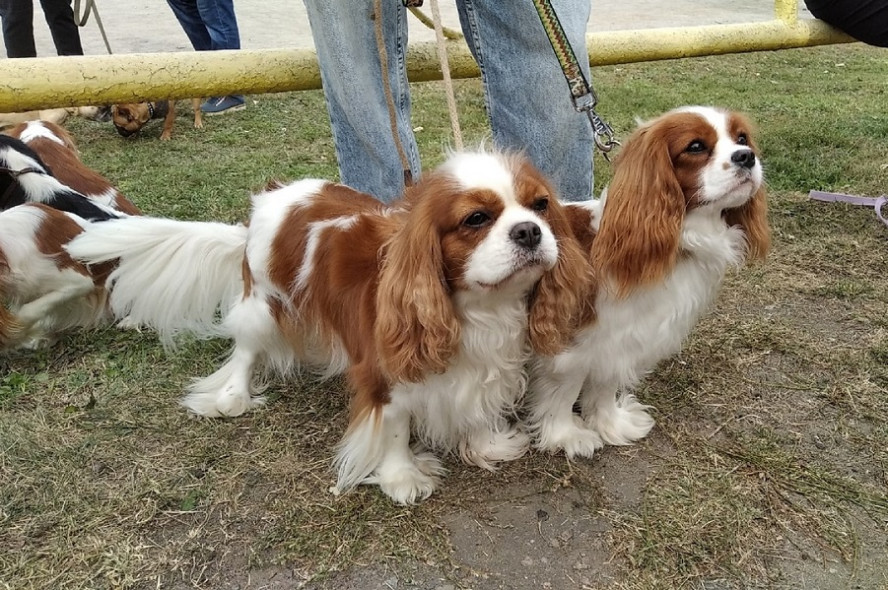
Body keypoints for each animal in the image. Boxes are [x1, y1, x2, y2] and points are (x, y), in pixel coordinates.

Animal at [64, 150, 588, 506]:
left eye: (541, 206)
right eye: (476, 219)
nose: (529, 231)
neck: (479, 308)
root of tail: (268, 198)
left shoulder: (486, 366)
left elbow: (477, 405)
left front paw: (485, 444)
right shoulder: (384, 377)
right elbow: (394, 428)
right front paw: (402, 478)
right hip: (262, 306)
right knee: (244, 352)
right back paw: (231, 397)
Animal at [528, 105, 772, 458]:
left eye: (741, 139)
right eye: (696, 147)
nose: (746, 157)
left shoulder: (622, 340)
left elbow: (604, 385)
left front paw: (610, 424)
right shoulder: (571, 347)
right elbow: (565, 391)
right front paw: (565, 436)